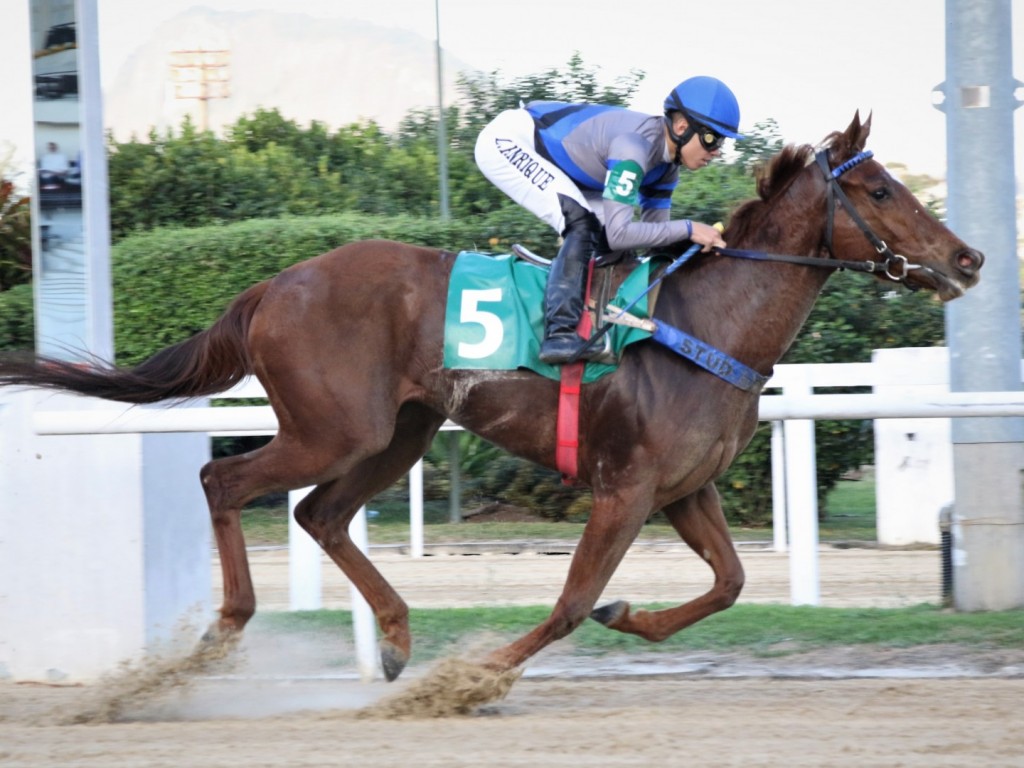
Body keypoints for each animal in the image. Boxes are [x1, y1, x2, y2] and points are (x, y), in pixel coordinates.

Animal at [4, 112, 987, 679]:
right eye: (877, 188)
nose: (970, 257)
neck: (702, 323)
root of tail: (274, 284)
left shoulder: (685, 488)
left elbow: (730, 585)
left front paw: (630, 615)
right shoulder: (624, 488)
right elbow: (567, 605)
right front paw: (473, 679)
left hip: (397, 434)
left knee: (319, 514)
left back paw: (395, 637)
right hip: (334, 429)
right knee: (225, 484)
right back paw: (225, 631)